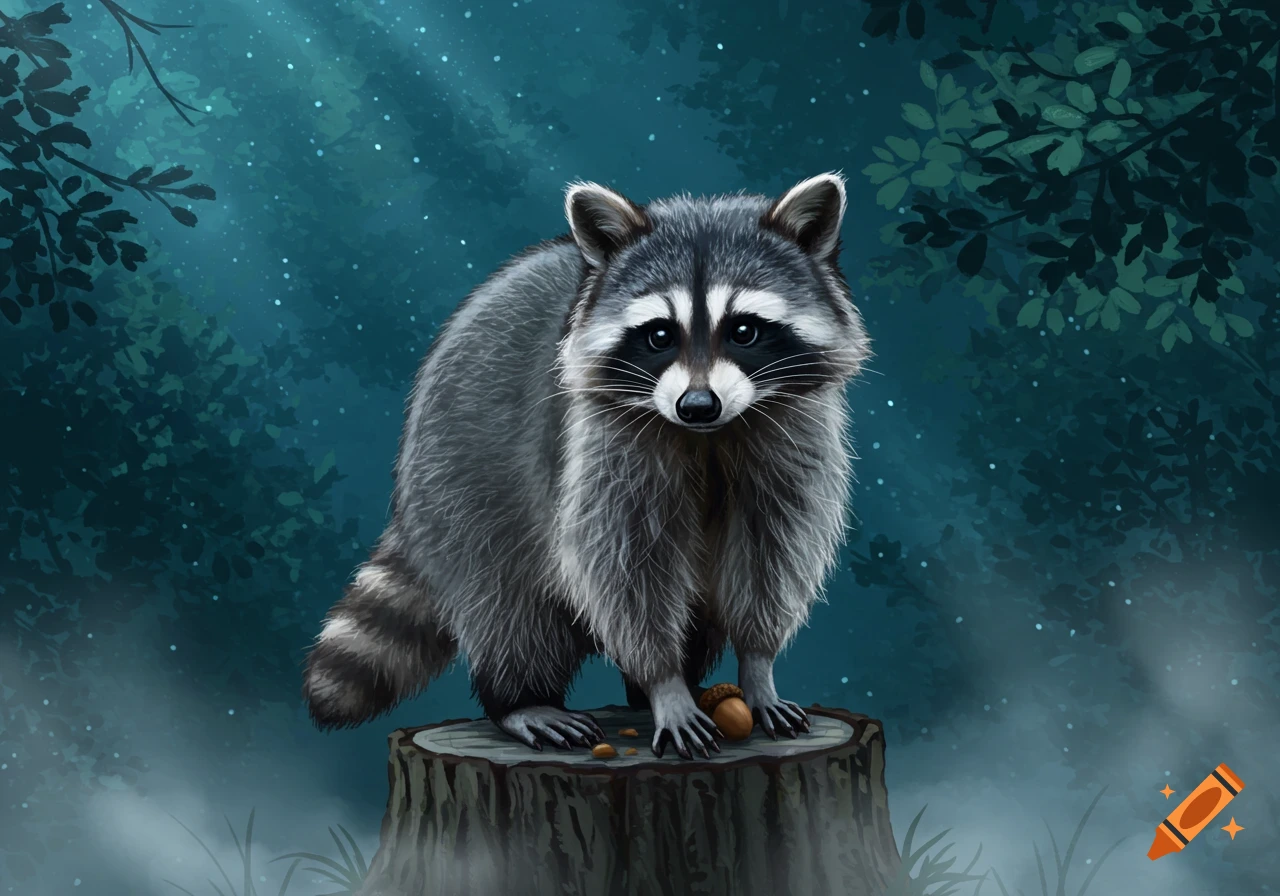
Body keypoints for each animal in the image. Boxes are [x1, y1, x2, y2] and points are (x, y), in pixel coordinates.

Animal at [302, 173, 871, 759]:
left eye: (743, 330)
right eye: (660, 335)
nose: (697, 405)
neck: (707, 436)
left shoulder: (789, 436)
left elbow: (770, 554)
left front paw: (757, 668)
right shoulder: (601, 446)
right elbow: (627, 569)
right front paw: (664, 682)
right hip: (462, 478)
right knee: (508, 606)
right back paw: (522, 699)